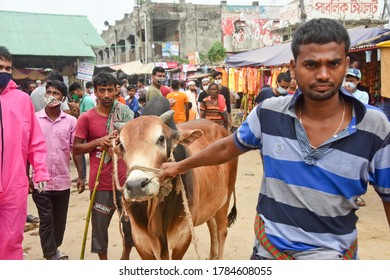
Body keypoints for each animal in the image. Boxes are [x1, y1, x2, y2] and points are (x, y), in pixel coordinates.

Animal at [112, 110, 238, 260]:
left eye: (161, 138)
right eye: (121, 146)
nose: (136, 186)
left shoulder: (183, 238)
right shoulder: (140, 242)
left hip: (225, 198)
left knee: (222, 231)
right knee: (212, 226)